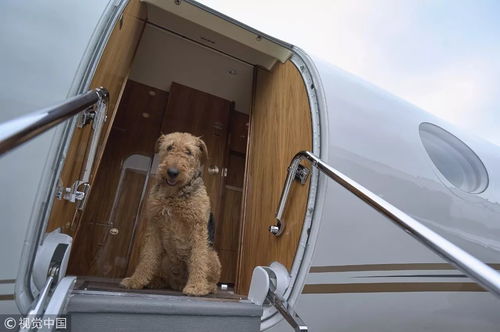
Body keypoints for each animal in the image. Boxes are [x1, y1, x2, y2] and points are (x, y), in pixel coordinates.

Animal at [120, 132, 220, 296]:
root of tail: (178, 283)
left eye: (189, 152)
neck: (173, 195)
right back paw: (155, 282)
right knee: (163, 275)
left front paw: (196, 287)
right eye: (169, 147)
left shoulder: (197, 227)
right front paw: (135, 280)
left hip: (212, 254)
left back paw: (207, 287)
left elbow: (198, 259)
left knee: (212, 278)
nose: (172, 172)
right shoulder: (154, 225)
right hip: (164, 257)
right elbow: (147, 257)